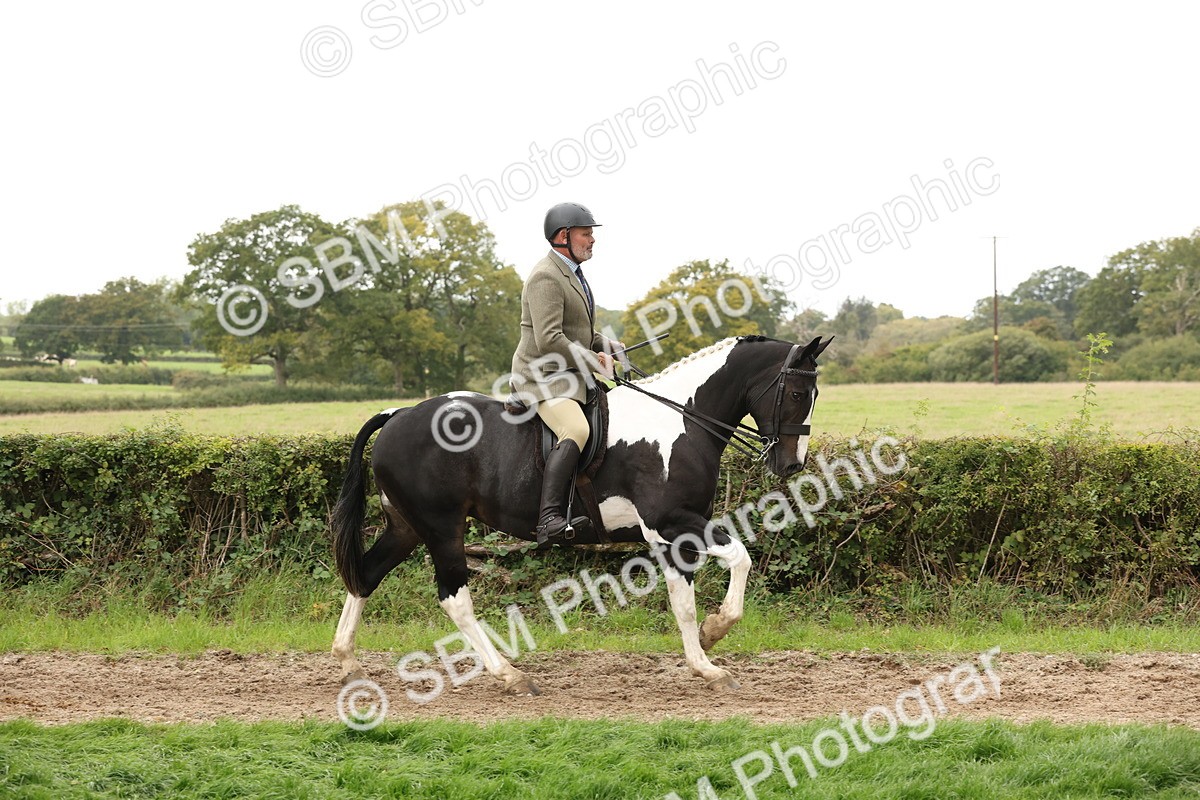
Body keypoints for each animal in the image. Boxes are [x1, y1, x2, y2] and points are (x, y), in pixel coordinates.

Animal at [331, 334, 832, 694]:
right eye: (795, 393)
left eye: (814, 394)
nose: (792, 465)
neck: (682, 421)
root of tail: (399, 413)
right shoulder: (673, 522)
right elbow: (739, 560)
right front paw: (715, 634)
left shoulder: (671, 536)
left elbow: (683, 604)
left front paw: (704, 662)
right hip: (442, 528)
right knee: (454, 599)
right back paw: (509, 675)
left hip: (406, 527)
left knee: (365, 576)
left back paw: (348, 662)